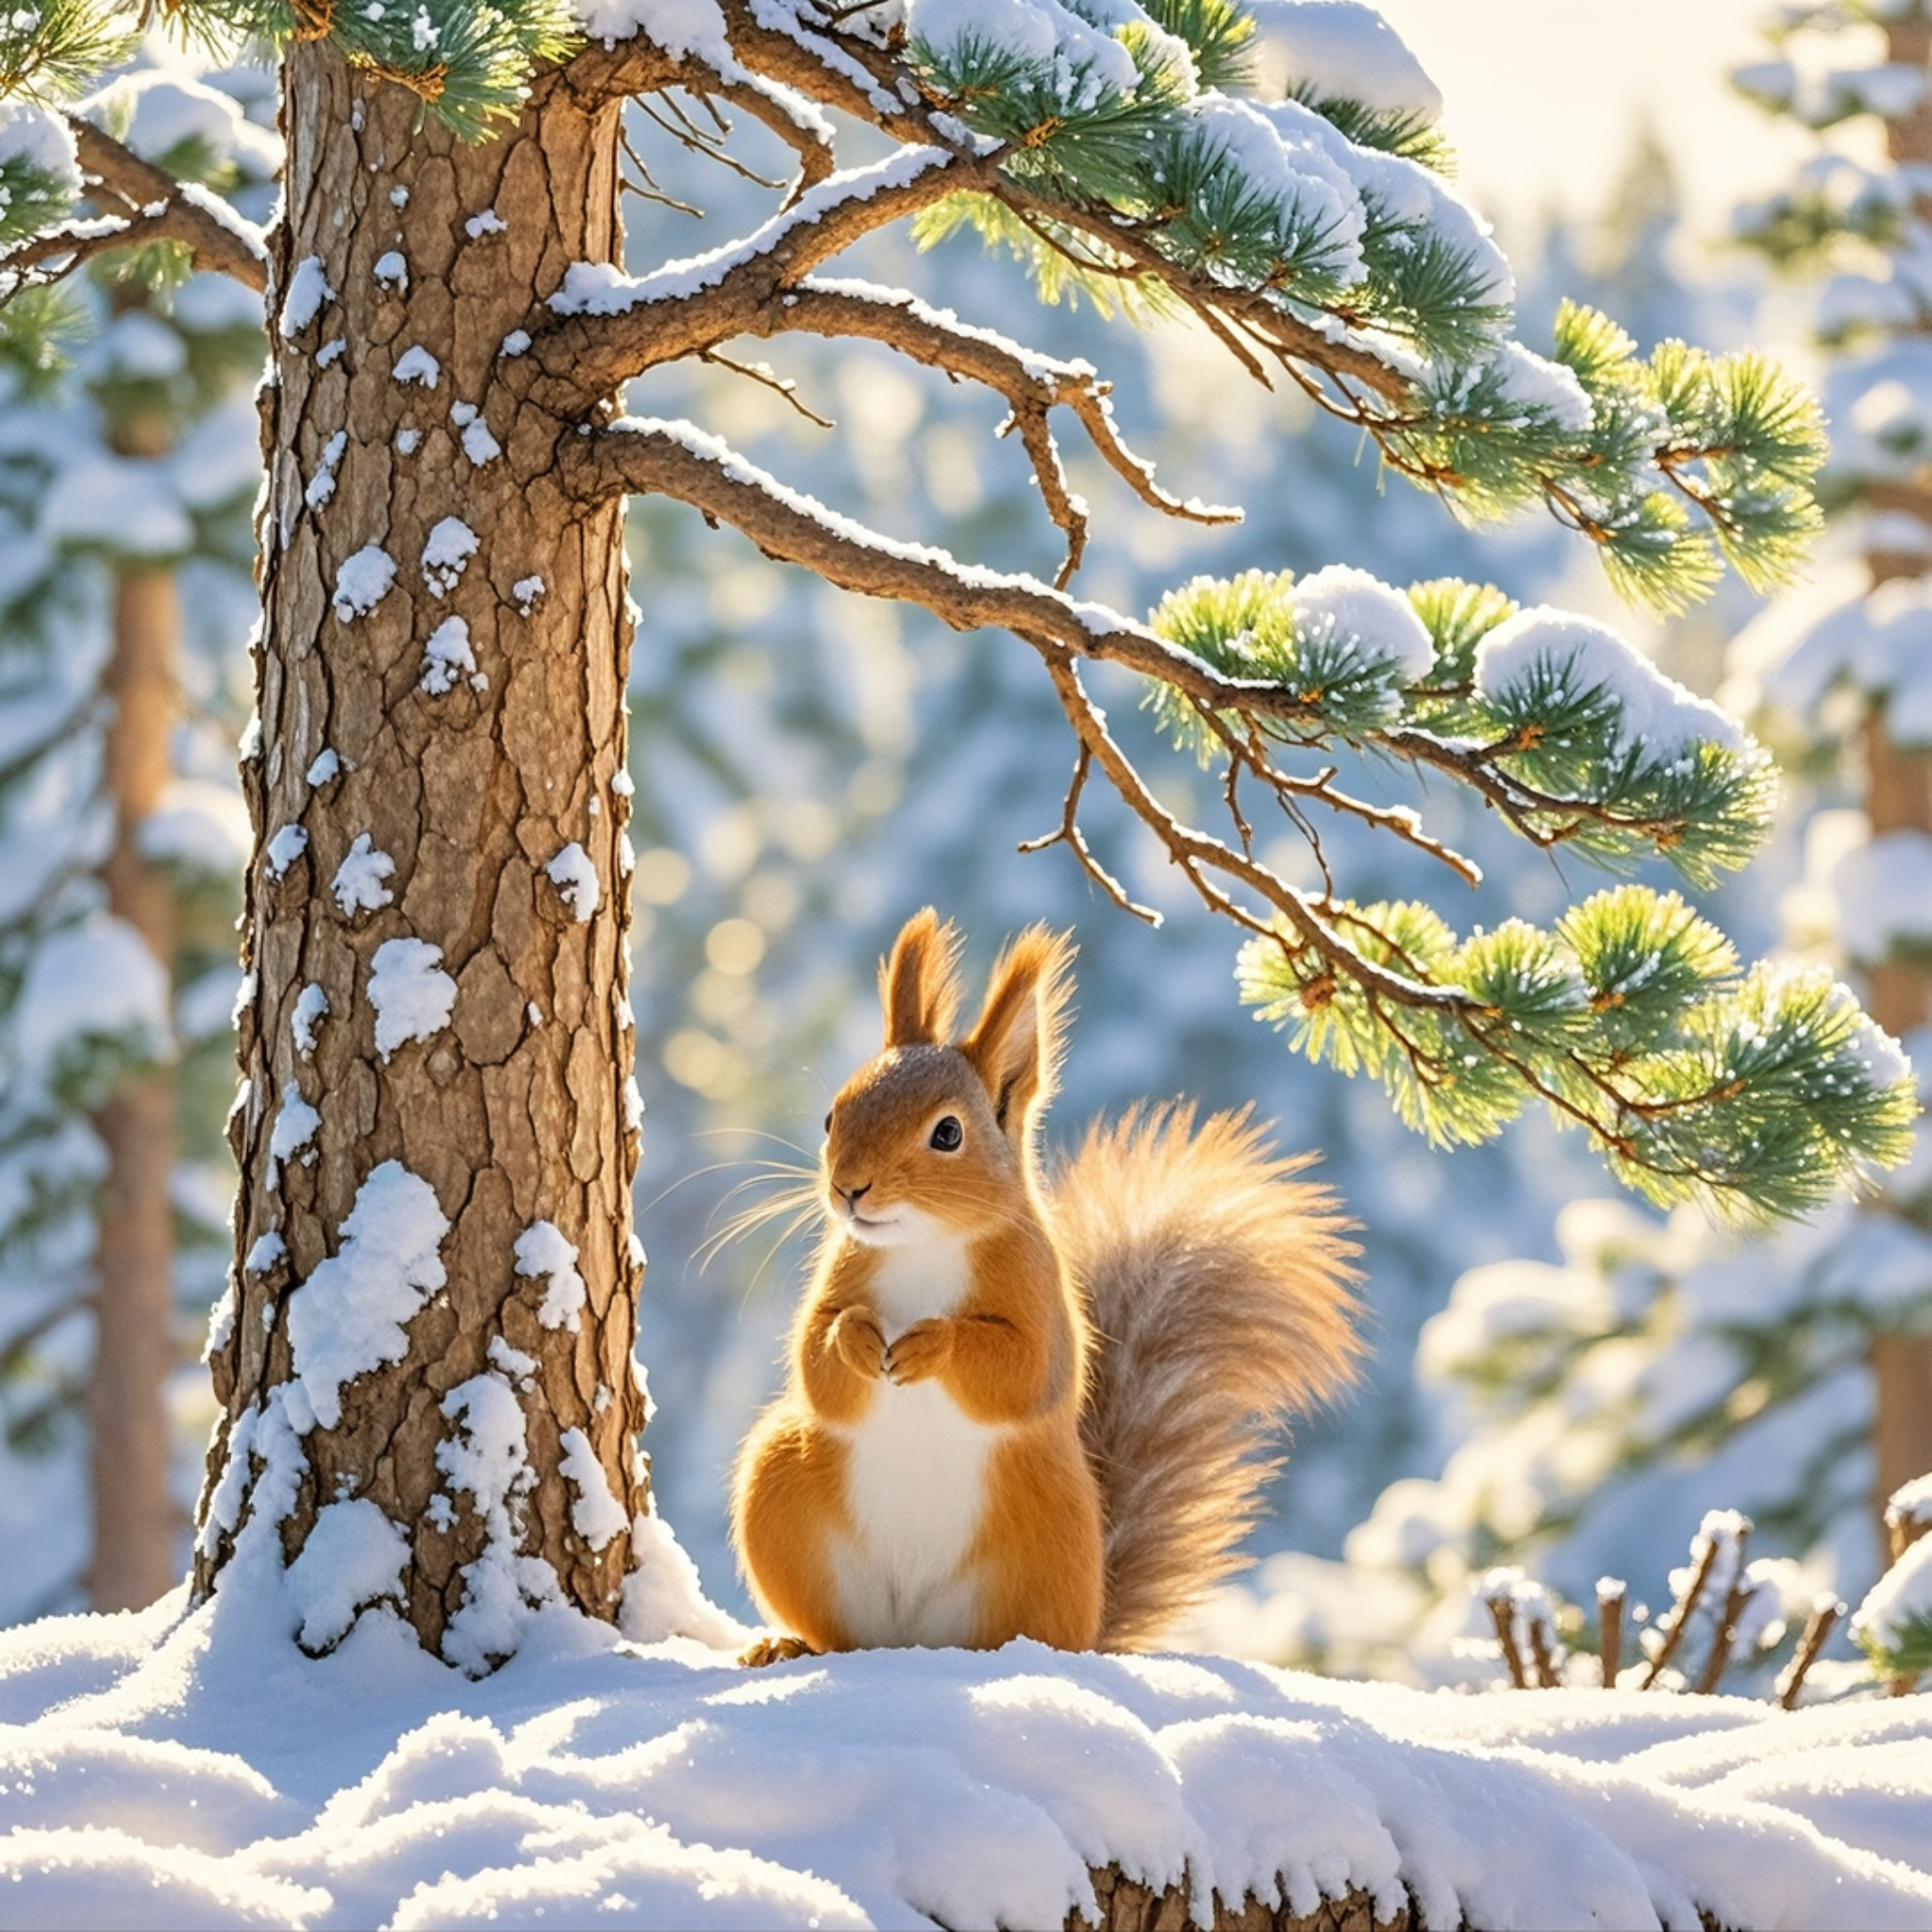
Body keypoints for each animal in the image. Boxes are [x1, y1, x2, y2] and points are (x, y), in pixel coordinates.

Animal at [726, 908, 1359, 1661]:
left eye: (947, 1133)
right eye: (832, 1115)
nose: (848, 1188)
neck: (921, 1246)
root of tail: (912, 1639)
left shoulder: (1041, 1295)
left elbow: (1026, 1371)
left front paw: (932, 1344)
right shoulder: (842, 1274)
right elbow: (814, 1365)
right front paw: (854, 1338)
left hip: (1045, 1542)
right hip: (783, 1483)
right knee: (836, 1633)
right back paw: (791, 1646)